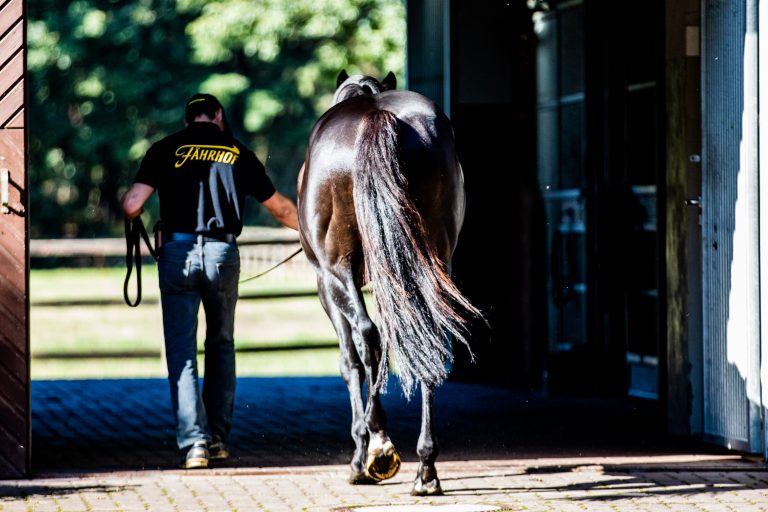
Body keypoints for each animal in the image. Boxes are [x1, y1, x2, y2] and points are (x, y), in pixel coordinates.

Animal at [297, 70, 480, 496]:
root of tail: (376, 117)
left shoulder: (325, 283)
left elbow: (350, 361)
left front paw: (360, 453)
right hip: (428, 262)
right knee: (429, 341)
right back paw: (426, 469)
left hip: (338, 269)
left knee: (368, 337)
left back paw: (378, 446)